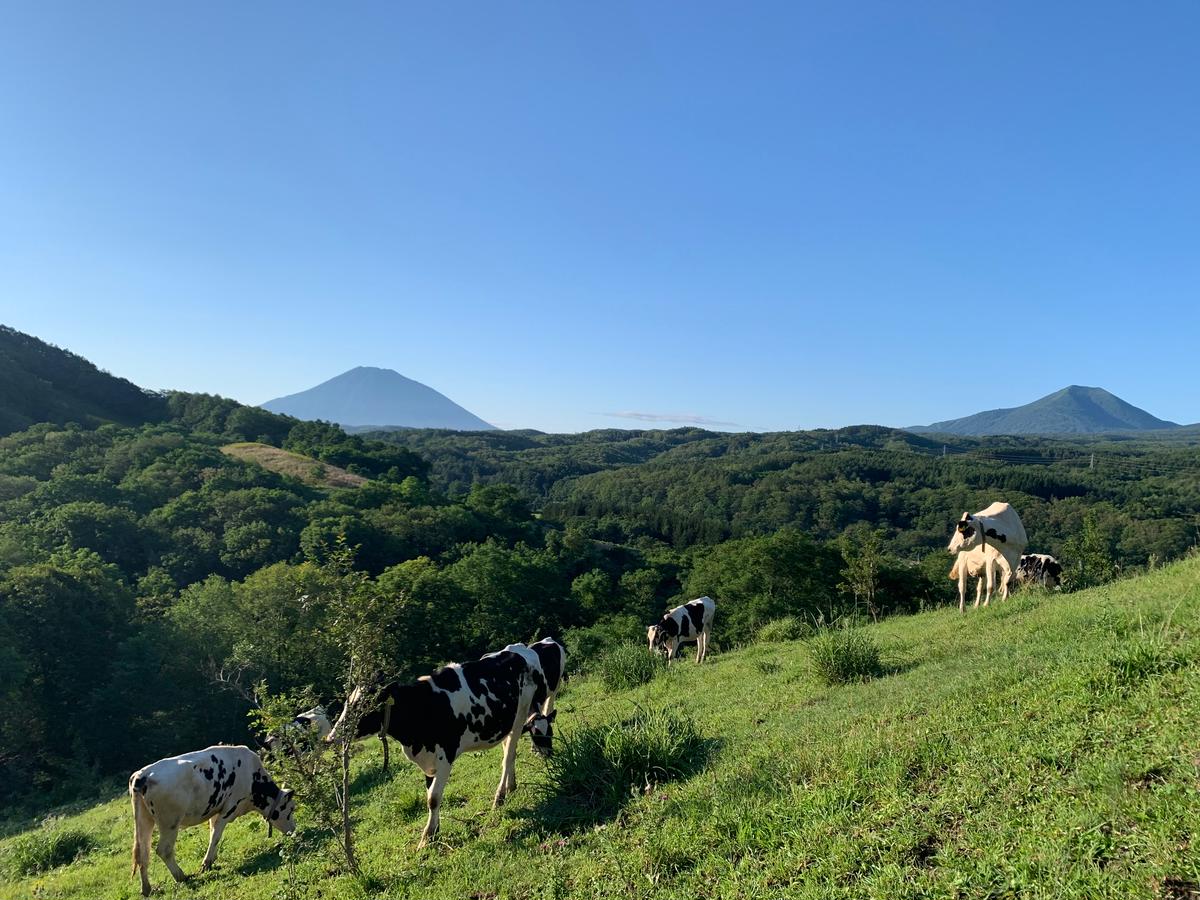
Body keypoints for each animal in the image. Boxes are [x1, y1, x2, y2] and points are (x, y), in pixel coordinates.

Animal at [129, 744, 295, 897]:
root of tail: (142, 774)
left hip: (145, 821)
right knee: (163, 850)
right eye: (291, 809)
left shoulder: (216, 810)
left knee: (143, 854)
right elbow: (216, 836)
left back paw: (146, 889)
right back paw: (181, 876)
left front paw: (212, 859)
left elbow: (212, 833)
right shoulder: (229, 809)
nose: (293, 830)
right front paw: (206, 864)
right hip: (170, 823)